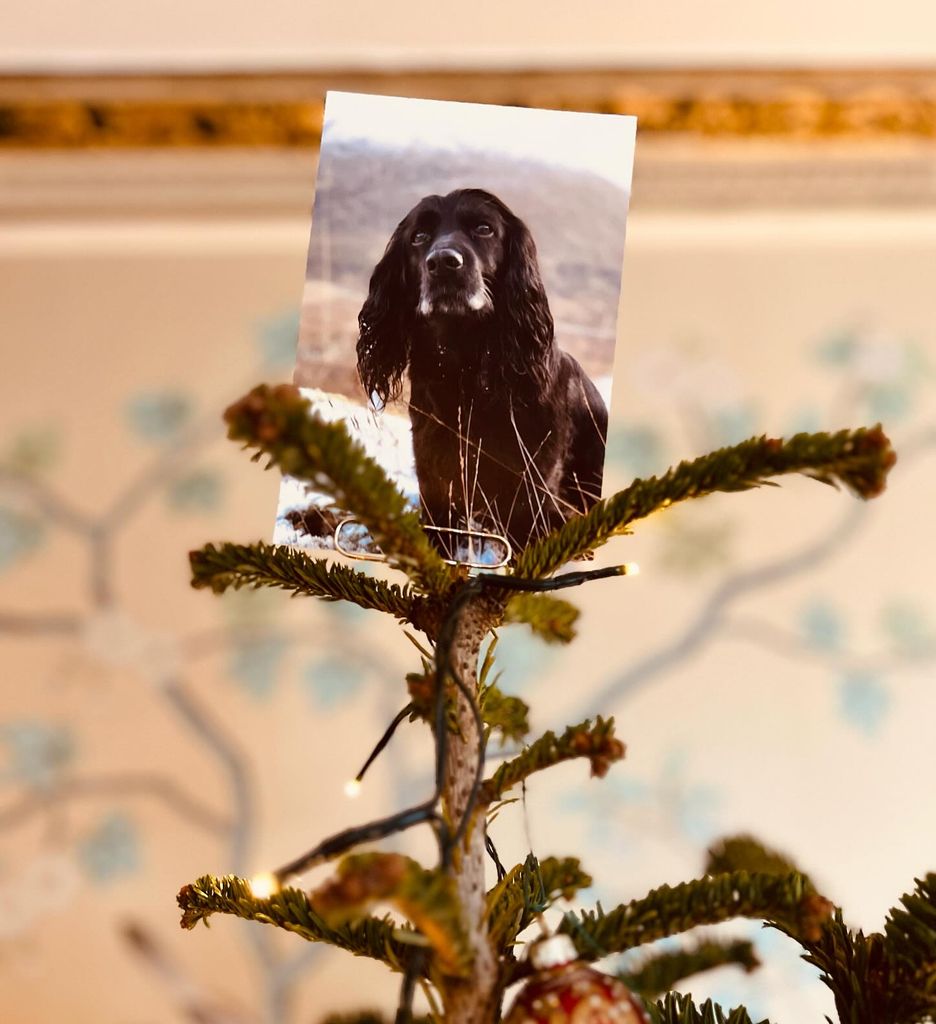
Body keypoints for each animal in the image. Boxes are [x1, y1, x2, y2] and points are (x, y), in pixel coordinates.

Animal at [356, 192, 606, 561]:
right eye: (418, 237)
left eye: (484, 228)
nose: (444, 262)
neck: (466, 374)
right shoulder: (436, 482)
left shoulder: (533, 491)